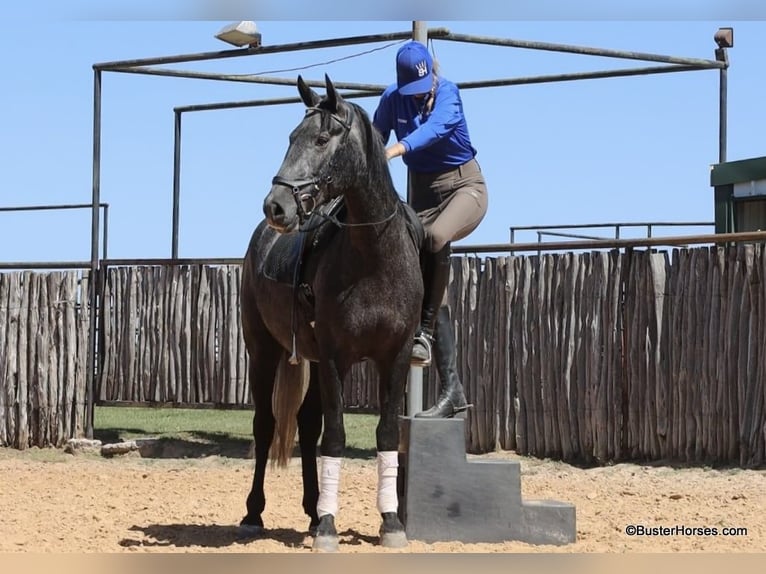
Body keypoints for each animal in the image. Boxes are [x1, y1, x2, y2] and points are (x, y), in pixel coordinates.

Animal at [239, 74, 424, 551]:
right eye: (291, 138)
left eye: (322, 139)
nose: (276, 206)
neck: (374, 256)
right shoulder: (337, 358)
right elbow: (335, 436)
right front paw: (328, 527)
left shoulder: (394, 358)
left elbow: (386, 433)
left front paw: (390, 522)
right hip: (263, 352)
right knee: (265, 424)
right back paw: (254, 513)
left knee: (305, 424)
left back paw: (310, 508)